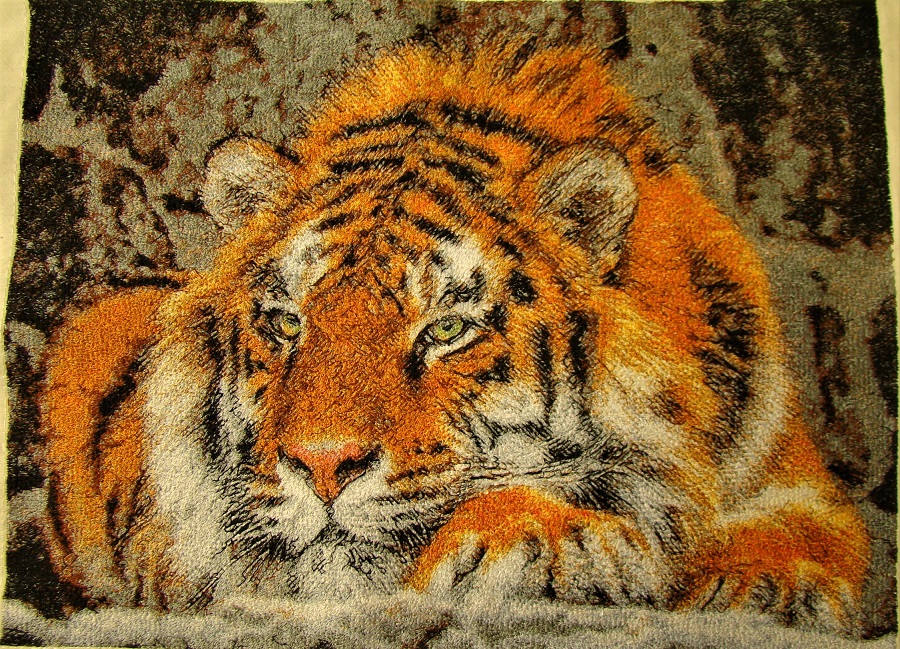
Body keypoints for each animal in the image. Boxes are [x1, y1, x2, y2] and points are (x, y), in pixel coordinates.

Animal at [37, 39, 869, 633]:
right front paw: (551, 537)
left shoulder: (790, 471)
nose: (321, 465)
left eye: (446, 329)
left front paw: (764, 579)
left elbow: (810, 531)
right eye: (286, 322)